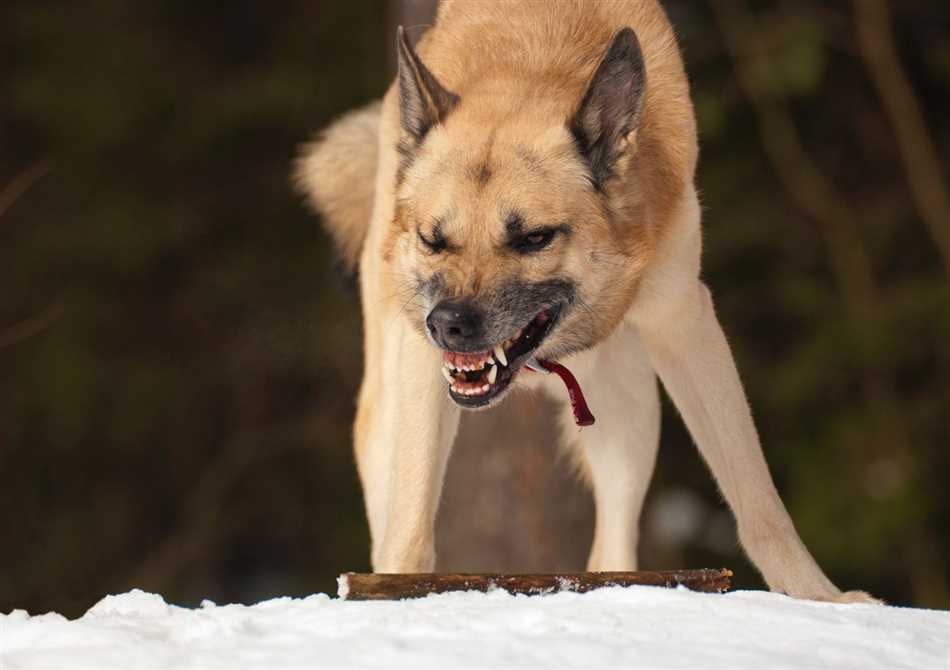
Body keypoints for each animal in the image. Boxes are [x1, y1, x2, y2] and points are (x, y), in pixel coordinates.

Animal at [296, 0, 876, 608]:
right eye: (434, 239)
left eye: (533, 238)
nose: (448, 325)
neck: (532, 55)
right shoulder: (420, 369)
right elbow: (409, 524)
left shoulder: (685, 322)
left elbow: (758, 497)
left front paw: (821, 599)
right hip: (387, 413)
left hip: (631, 410)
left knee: (610, 547)